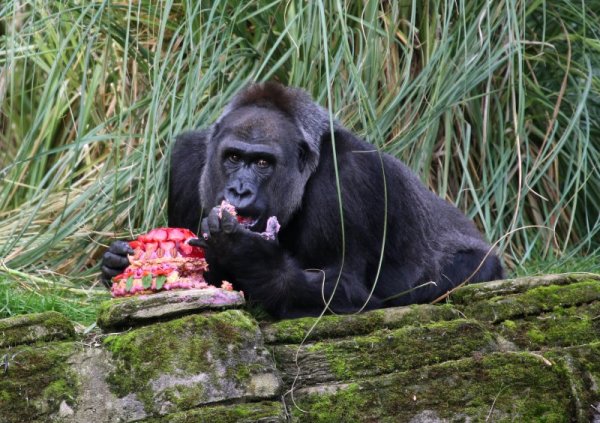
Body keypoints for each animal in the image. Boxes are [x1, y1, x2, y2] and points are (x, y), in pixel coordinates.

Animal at [102, 83, 502, 320]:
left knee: (467, 270)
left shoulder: (349, 176)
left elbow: (348, 288)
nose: (240, 191)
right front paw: (115, 263)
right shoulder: (187, 160)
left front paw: (251, 257)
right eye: (233, 157)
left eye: (263, 163)